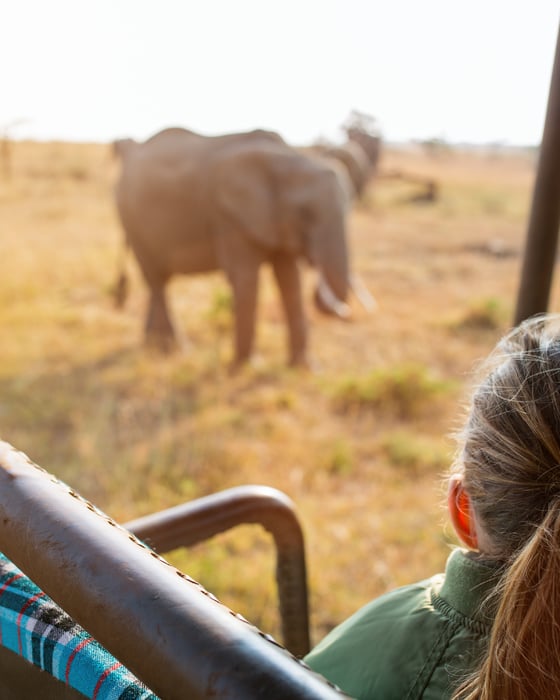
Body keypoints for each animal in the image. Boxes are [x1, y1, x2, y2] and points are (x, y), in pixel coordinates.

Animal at [113, 127, 354, 369]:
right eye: (305, 213)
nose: (341, 310)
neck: (286, 159)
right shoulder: (228, 216)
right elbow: (246, 278)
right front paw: (248, 366)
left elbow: (290, 279)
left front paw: (305, 368)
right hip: (132, 220)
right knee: (155, 279)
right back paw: (174, 349)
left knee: (159, 280)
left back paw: (152, 345)